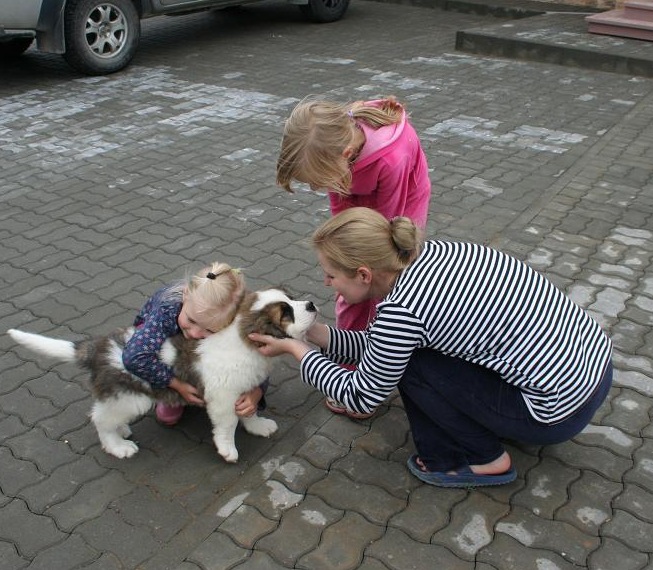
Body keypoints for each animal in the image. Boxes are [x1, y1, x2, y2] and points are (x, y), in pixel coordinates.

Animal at [7, 288, 318, 462]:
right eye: (286, 313)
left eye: (291, 299)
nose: (312, 305)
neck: (243, 342)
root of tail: (98, 347)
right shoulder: (221, 397)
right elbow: (228, 424)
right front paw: (228, 449)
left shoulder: (241, 389)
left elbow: (248, 410)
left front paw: (258, 426)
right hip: (132, 397)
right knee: (99, 419)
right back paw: (118, 446)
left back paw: (122, 431)